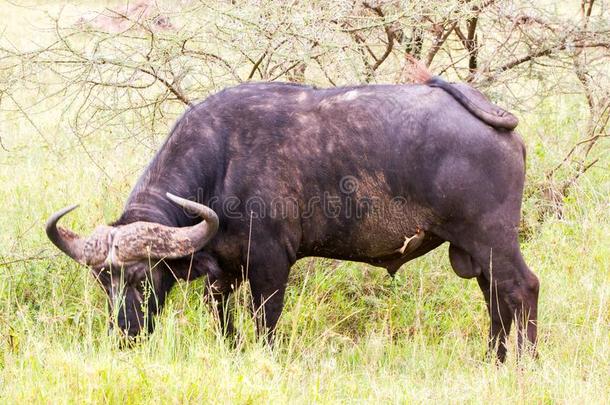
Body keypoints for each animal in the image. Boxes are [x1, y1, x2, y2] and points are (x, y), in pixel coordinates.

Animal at [46, 64, 536, 360]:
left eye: (143, 278)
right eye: (102, 281)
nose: (123, 334)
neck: (223, 162)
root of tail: (497, 122)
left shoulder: (270, 264)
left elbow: (265, 323)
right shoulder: (222, 273)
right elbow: (224, 322)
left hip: (493, 239)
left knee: (523, 288)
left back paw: (524, 362)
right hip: (475, 252)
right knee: (496, 298)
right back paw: (493, 360)